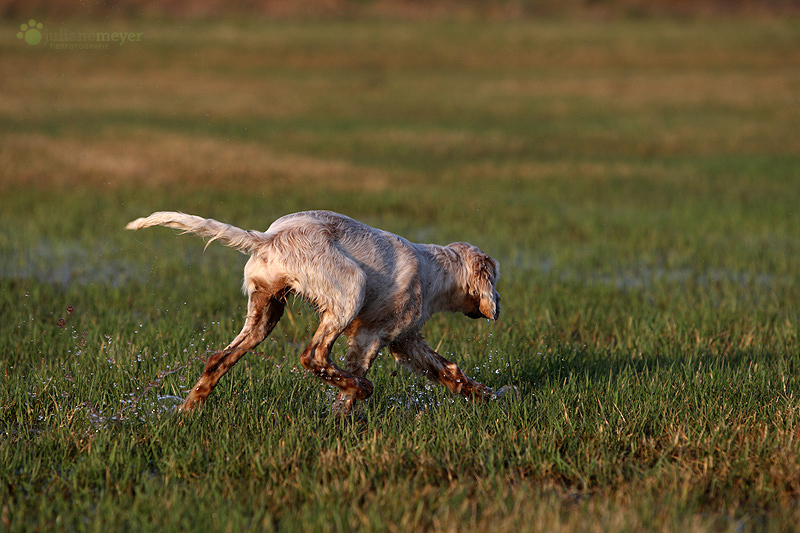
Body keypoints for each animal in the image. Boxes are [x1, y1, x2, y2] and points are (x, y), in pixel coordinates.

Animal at [128, 210, 510, 414]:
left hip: (266, 310)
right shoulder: (370, 335)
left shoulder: (406, 340)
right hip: (349, 287)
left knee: (217, 358)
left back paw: (186, 410)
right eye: (495, 278)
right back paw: (361, 387)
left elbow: (450, 372)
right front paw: (343, 415)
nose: (499, 305)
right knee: (313, 355)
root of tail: (268, 238)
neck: (434, 270)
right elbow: (349, 382)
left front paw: (490, 397)